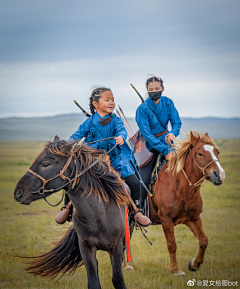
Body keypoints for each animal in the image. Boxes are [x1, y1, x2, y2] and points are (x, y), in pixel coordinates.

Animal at [13, 137, 129, 288]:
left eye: (45, 164)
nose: (18, 193)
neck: (100, 215)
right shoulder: (86, 247)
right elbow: (93, 281)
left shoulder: (117, 247)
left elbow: (117, 279)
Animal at [148, 130, 225, 274]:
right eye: (200, 153)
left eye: (217, 152)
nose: (220, 175)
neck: (180, 186)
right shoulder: (166, 220)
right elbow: (172, 245)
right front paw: (175, 270)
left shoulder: (193, 218)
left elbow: (203, 240)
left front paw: (194, 264)